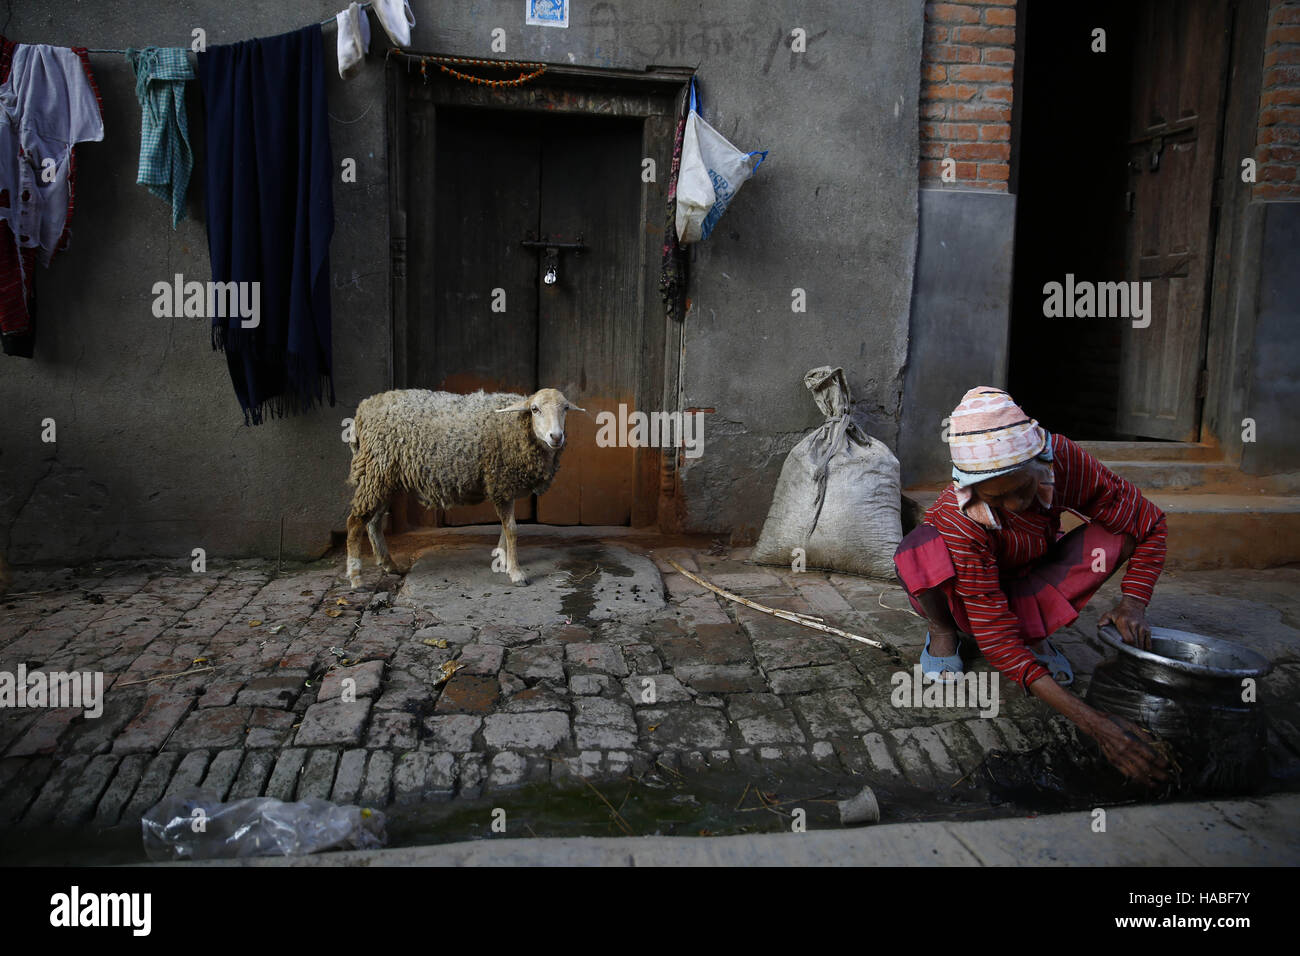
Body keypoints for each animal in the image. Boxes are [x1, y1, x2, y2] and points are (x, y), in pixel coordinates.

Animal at [348, 385, 587, 587]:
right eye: (535, 409)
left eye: (566, 408)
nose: (556, 436)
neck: (517, 426)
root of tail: (364, 408)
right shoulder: (500, 481)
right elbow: (512, 529)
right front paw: (516, 572)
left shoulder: (506, 486)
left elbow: (505, 528)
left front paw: (503, 559)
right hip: (374, 470)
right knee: (355, 521)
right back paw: (355, 576)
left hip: (383, 478)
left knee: (373, 522)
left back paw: (388, 564)